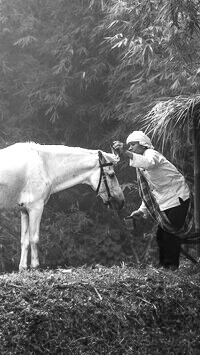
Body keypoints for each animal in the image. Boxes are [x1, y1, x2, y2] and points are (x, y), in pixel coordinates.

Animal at [0, 142, 124, 270]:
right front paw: (35, 266)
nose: (121, 201)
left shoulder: (24, 210)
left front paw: (23, 267)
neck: (44, 164)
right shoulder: (36, 208)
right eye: (111, 175)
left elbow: (24, 241)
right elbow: (34, 238)